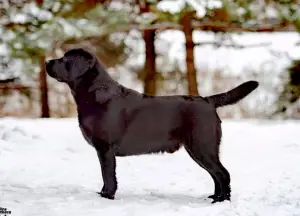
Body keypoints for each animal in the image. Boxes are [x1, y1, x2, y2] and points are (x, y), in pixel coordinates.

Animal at [44, 48, 258, 203]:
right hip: (198, 149)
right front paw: (103, 194)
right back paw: (214, 197)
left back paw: (221, 201)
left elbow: (108, 176)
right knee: (216, 175)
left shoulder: (105, 148)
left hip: (202, 146)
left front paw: (107, 197)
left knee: (223, 174)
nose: (47, 62)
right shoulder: (104, 150)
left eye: (64, 59)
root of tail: (207, 100)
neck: (95, 93)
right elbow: (107, 177)